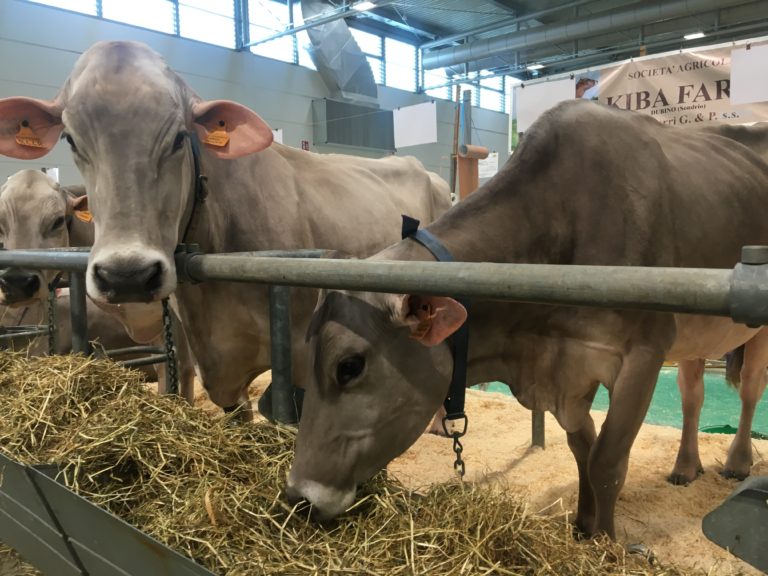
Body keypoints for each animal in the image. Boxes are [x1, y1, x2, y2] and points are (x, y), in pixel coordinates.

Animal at [284, 100, 768, 540]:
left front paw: (608, 543)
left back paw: (737, 462)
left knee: (749, 390)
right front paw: (583, 525)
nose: (297, 497)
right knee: (692, 395)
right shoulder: (567, 368)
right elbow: (581, 449)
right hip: (693, 335)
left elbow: (607, 460)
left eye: (349, 366)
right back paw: (686, 466)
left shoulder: (643, 354)